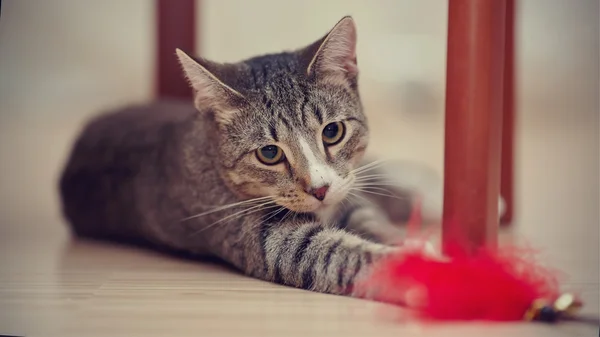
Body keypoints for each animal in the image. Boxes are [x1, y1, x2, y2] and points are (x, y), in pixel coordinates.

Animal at [61, 17, 434, 298]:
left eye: (332, 132)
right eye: (269, 153)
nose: (319, 190)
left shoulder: (348, 193)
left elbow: (369, 217)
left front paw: (409, 241)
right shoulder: (267, 240)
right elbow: (339, 255)